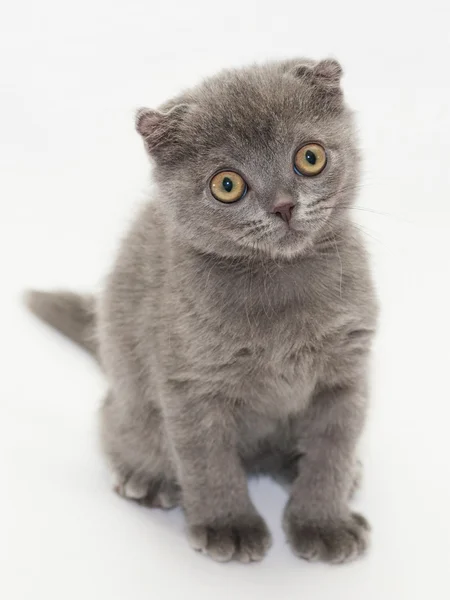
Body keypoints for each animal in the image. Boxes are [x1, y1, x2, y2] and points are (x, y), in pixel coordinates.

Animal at [28, 58, 378, 564]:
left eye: (310, 158)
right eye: (227, 185)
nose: (284, 205)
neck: (279, 286)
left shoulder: (346, 373)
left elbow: (331, 452)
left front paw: (323, 523)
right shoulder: (191, 382)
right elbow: (208, 461)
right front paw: (228, 526)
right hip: (130, 397)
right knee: (114, 422)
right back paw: (146, 477)